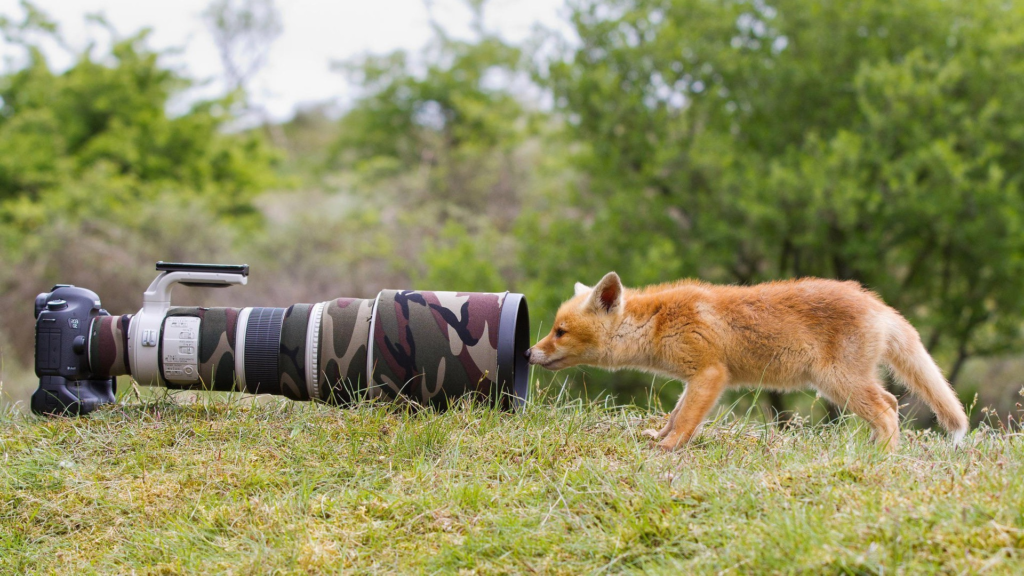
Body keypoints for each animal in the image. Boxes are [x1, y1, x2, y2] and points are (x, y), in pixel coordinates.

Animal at [525, 272, 969, 452]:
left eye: (560, 331)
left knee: (888, 408)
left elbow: (686, 422)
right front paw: (658, 436)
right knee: (890, 404)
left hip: (838, 382)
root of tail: (877, 303)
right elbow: (675, 413)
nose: (528, 353)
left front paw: (668, 447)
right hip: (845, 384)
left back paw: (884, 457)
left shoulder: (710, 374)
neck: (658, 322)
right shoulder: (693, 381)